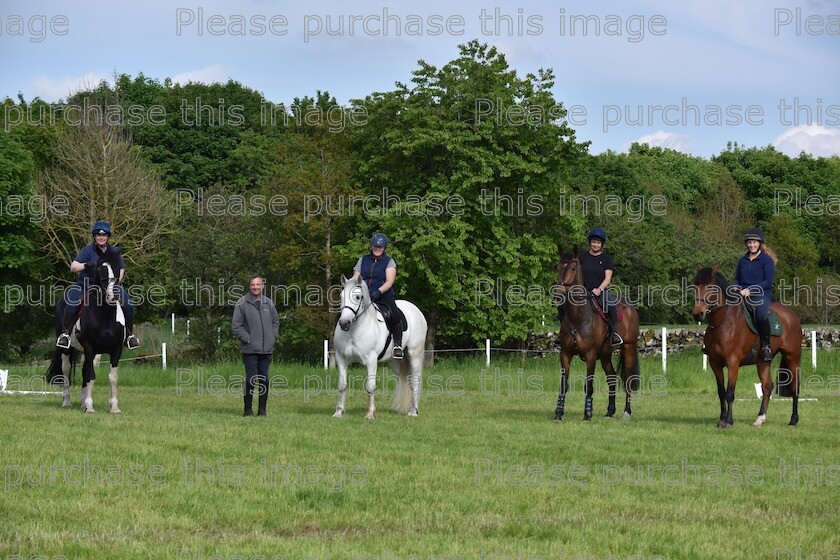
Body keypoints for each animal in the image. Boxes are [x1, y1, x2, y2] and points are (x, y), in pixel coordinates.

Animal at [47, 247, 126, 414]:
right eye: (101, 268)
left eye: (118, 268)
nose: (113, 295)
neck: (105, 316)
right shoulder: (90, 348)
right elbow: (90, 375)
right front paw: (90, 407)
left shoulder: (116, 350)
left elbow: (112, 377)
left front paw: (114, 407)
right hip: (66, 349)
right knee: (66, 370)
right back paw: (67, 402)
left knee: (83, 371)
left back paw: (82, 403)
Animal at [334, 274, 426, 418]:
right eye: (340, 296)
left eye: (358, 297)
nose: (344, 323)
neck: (354, 330)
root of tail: (415, 309)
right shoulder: (341, 359)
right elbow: (342, 385)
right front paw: (339, 412)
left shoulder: (371, 360)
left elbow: (370, 387)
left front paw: (370, 413)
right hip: (394, 362)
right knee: (403, 378)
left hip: (414, 353)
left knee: (415, 381)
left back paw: (413, 411)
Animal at [556, 247, 640, 422]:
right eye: (558, 267)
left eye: (573, 268)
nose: (559, 292)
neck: (578, 318)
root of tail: (630, 307)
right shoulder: (565, 354)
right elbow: (563, 385)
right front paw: (558, 412)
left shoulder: (590, 356)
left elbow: (588, 386)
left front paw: (587, 414)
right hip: (606, 355)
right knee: (612, 378)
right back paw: (610, 412)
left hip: (628, 348)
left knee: (628, 379)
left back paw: (627, 412)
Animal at [692, 264, 804, 426]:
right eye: (695, 286)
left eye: (711, 287)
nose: (697, 314)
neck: (723, 323)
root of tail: (792, 314)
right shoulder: (715, 363)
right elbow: (721, 392)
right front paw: (721, 420)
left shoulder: (732, 363)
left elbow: (730, 393)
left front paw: (729, 422)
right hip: (763, 362)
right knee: (767, 387)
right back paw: (760, 418)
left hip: (792, 357)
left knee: (795, 386)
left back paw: (793, 419)